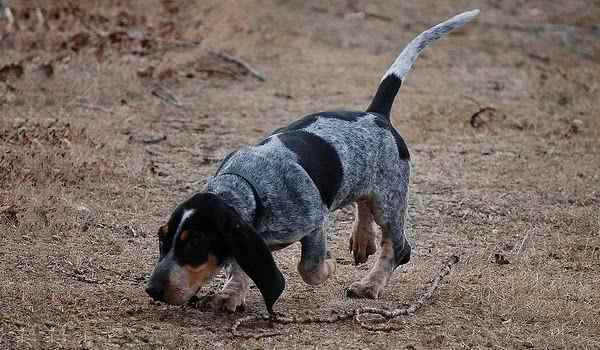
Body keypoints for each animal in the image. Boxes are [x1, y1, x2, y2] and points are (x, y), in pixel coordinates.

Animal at [148, 9, 480, 314]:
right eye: (163, 238)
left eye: (194, 243)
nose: (152, 289)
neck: (249, 185)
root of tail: (376, 114)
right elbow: (241, 266)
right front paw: (230, 294)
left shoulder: (314, 221)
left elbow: (309, 267)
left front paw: (329, 267)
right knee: (363, 202)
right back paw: (363, 239)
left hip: (390, 202)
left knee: (398, 248)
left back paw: (369, 284)